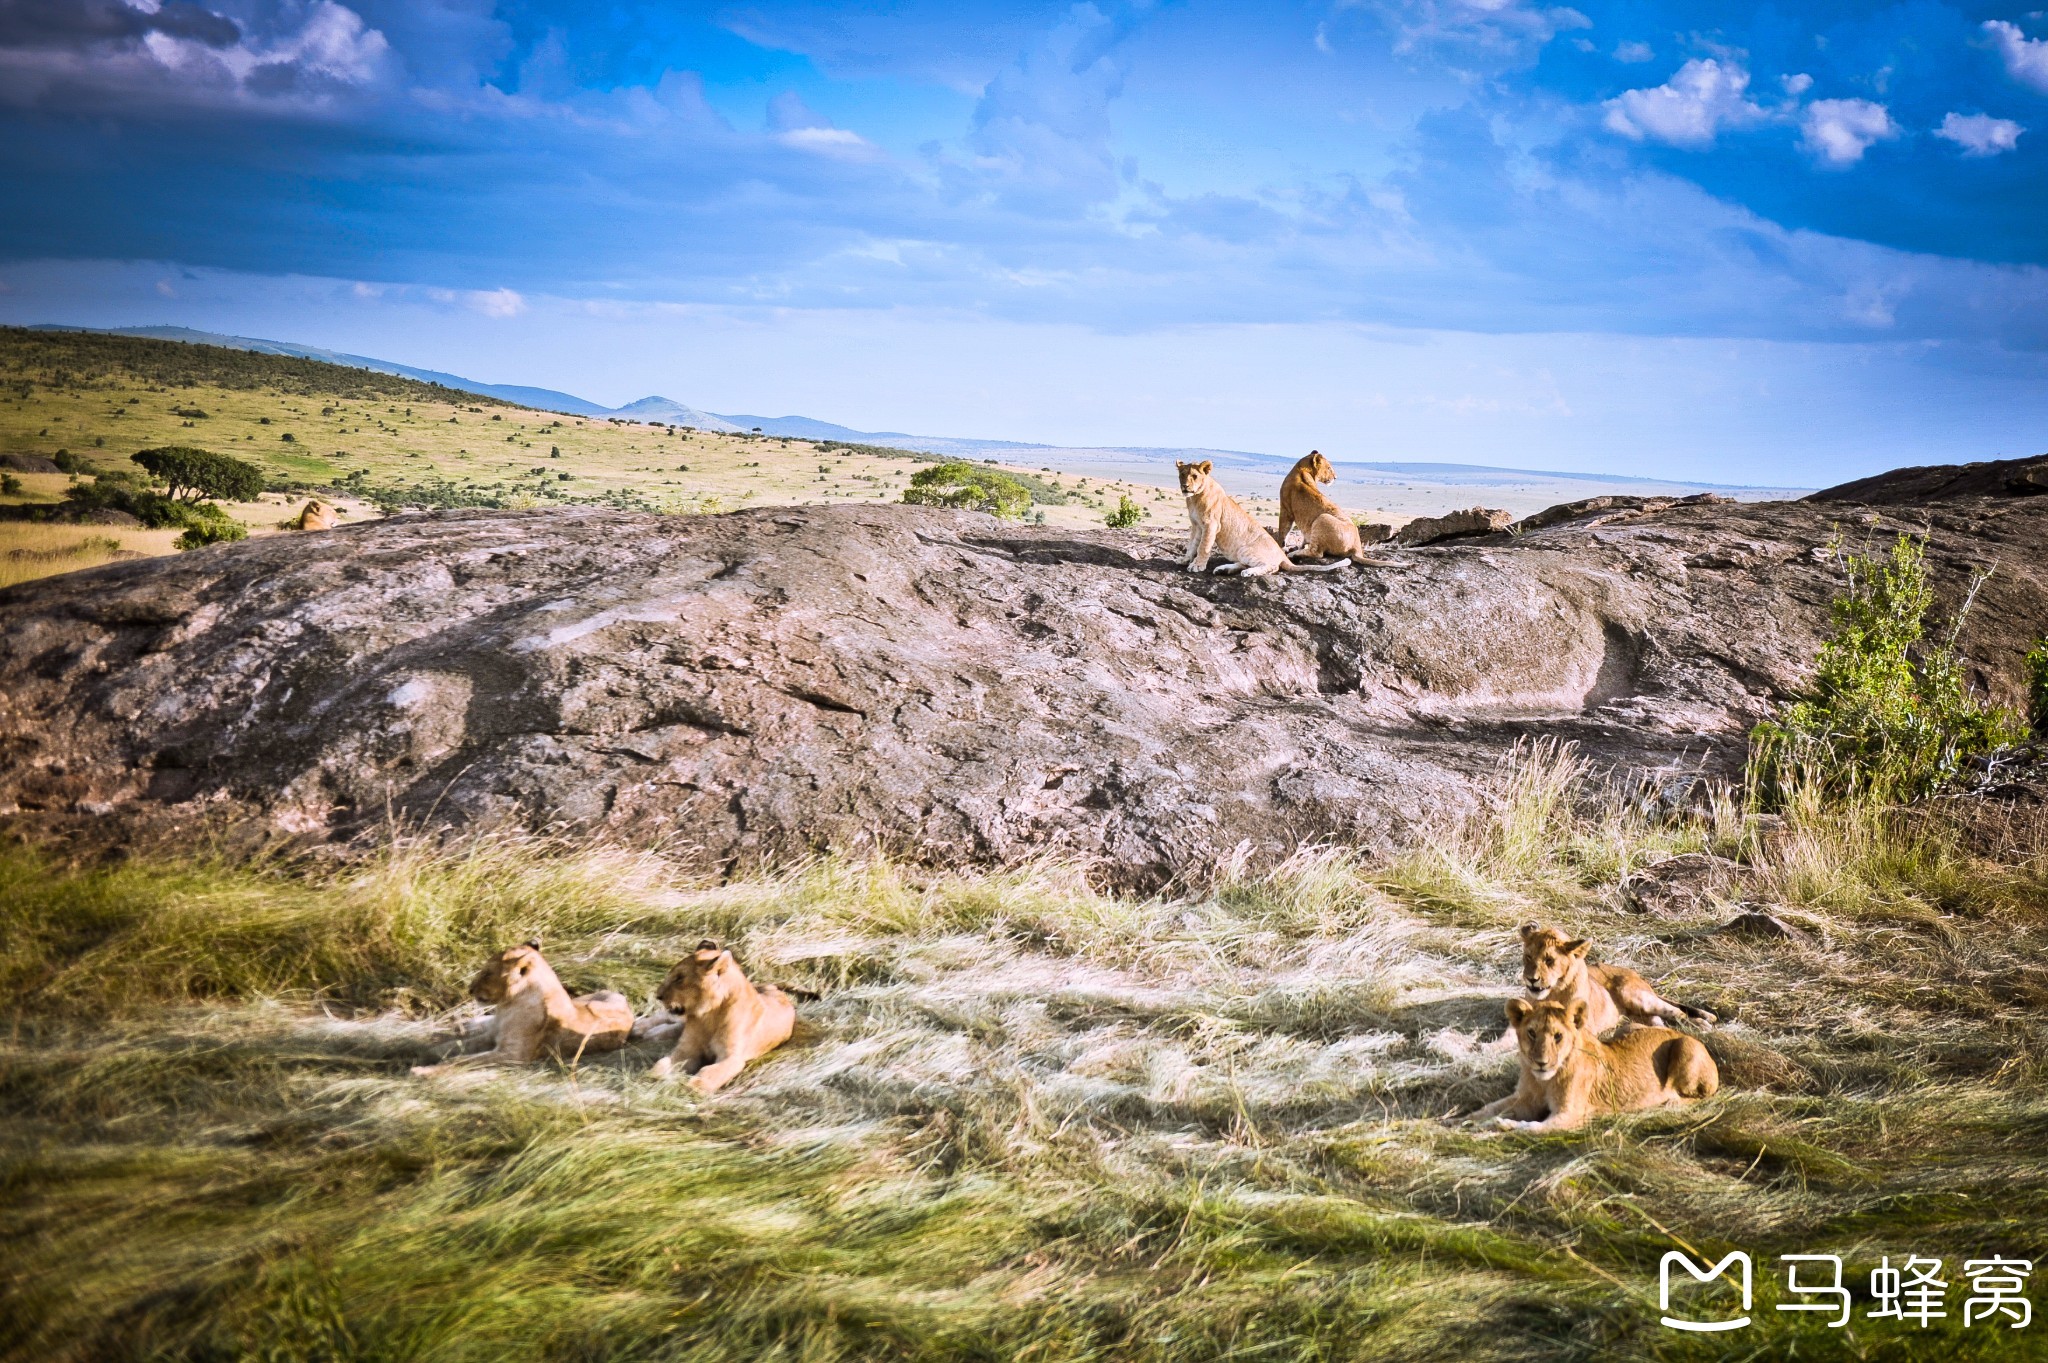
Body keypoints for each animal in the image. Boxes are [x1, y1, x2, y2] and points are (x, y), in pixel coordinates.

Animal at [411, 933, 634, 1072]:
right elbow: (448, 1047)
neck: (508, 1006)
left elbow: (461, 1060)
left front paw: (422, 1071)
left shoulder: (513, 1054)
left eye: (488, 973)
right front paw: (421, 1054)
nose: (470, 989)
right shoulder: (492, 1036)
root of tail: (626, 1003)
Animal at [643, 933, 794, 1096]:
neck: (709, 1015)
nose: (658, 995)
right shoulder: (687, 1048)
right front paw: (652, 1077)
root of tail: (774, 988)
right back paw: (644, 1029)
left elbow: (710, 1072)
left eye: (679, 978)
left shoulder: (732, 1057)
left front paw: (692, 1088)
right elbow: (663, 1062)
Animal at [1179, 458, 1351, 577]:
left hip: (1246, 549)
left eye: (1194, 476)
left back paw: (1248, 572)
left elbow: (1203, 546)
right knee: (1244, 564)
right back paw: (1224, 569)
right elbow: (1192, 544)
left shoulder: (1211, 524)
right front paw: (1185, 559)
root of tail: (1282, 555)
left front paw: (1197, 565)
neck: (1194, 498)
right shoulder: (1196, 525)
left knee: (1272, 567)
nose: (1185, 486)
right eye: (1182, 475)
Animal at [1474, 994, 1728, 1129]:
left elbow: (1532, 1127)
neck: (1544, 1080)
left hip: (1684, 1048)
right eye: (1531, 1033)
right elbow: (1487, 1108)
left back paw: (1669, 1102)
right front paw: (1467, 1122)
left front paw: (1501, 1126)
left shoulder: (1570, 1115)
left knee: (1701, 1096)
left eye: (1558, 1036)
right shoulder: (1524, 1099)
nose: (1541, 1063)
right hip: (1628, 1027)